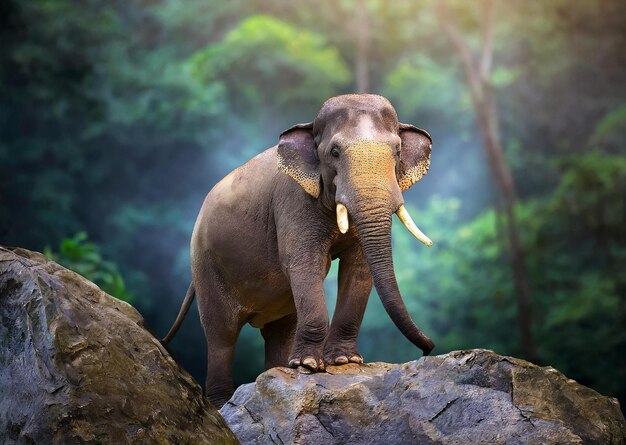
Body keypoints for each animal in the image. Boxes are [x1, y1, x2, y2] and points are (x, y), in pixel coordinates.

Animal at [161, 93, 434, 406]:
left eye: (397, 150)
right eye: (334, 152)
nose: (427, 349)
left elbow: (357, 266)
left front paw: (344, 361)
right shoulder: (293, 201)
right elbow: (305, 262)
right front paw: (309, 366)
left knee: (278, 331)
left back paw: (280, 371)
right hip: (206, 267)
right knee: (222, 337)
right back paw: (223, 403)